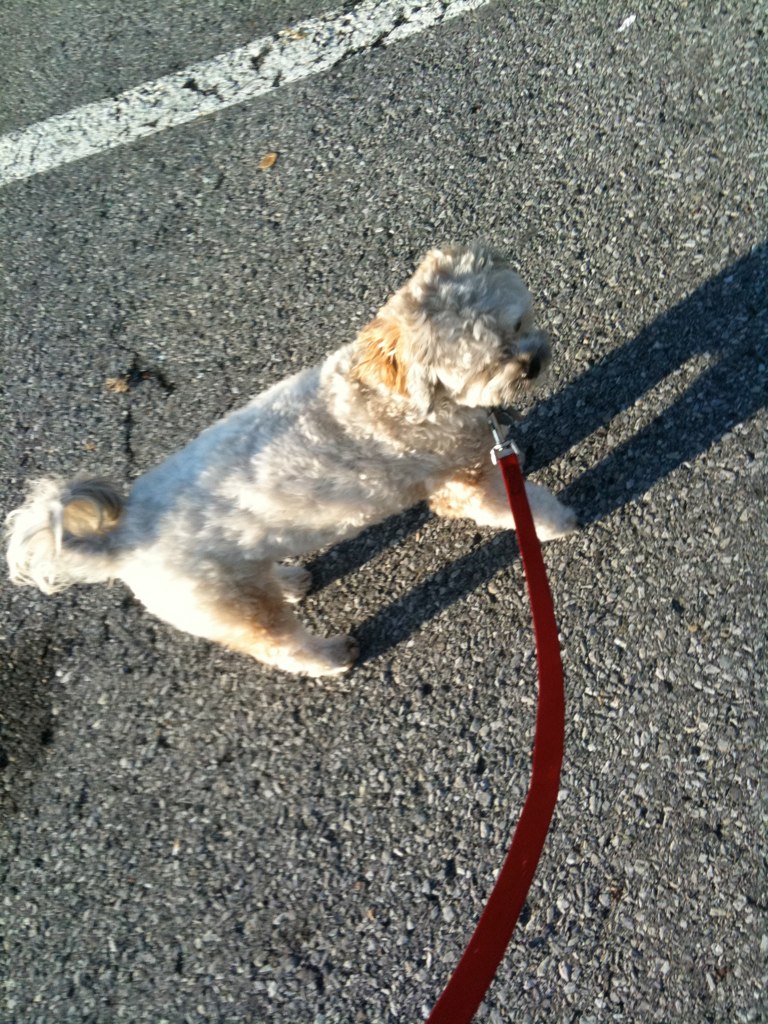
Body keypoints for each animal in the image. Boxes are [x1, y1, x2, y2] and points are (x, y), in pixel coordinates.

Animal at [4, 243, 573, 675]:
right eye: (486, 366)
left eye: (517, 323)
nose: (532, 363)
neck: (397, 396)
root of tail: (123, 536)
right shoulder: (458, 483)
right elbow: (512, 507)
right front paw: (557, 520)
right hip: (231, 604)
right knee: (279, 643)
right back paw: (330, 656)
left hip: (240, 574)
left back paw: (291, 580)